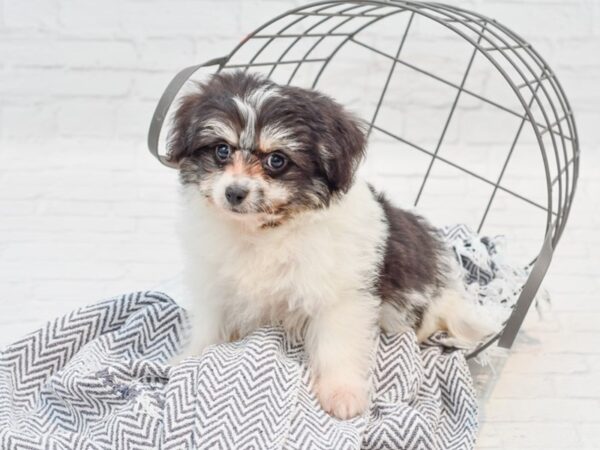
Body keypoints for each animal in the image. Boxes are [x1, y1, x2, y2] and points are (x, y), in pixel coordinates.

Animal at [165, 70, 492, 418]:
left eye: (277, 160)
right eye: (222, 151)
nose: (234, 192)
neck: (265, 230)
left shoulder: (341, 296)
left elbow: (337, 344)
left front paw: (342, 393)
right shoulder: (214, 282)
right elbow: (209, 325)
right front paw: (190, 358)